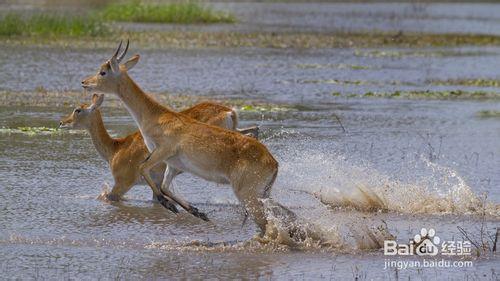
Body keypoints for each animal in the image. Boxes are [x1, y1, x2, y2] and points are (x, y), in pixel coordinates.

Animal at [60, 93, 260, 213]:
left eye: (77, 109)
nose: (62, 122)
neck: (114, 149)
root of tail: (230, 112)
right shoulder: (155, 181)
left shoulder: (122, 182)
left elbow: (107, 197)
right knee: (254, 130)